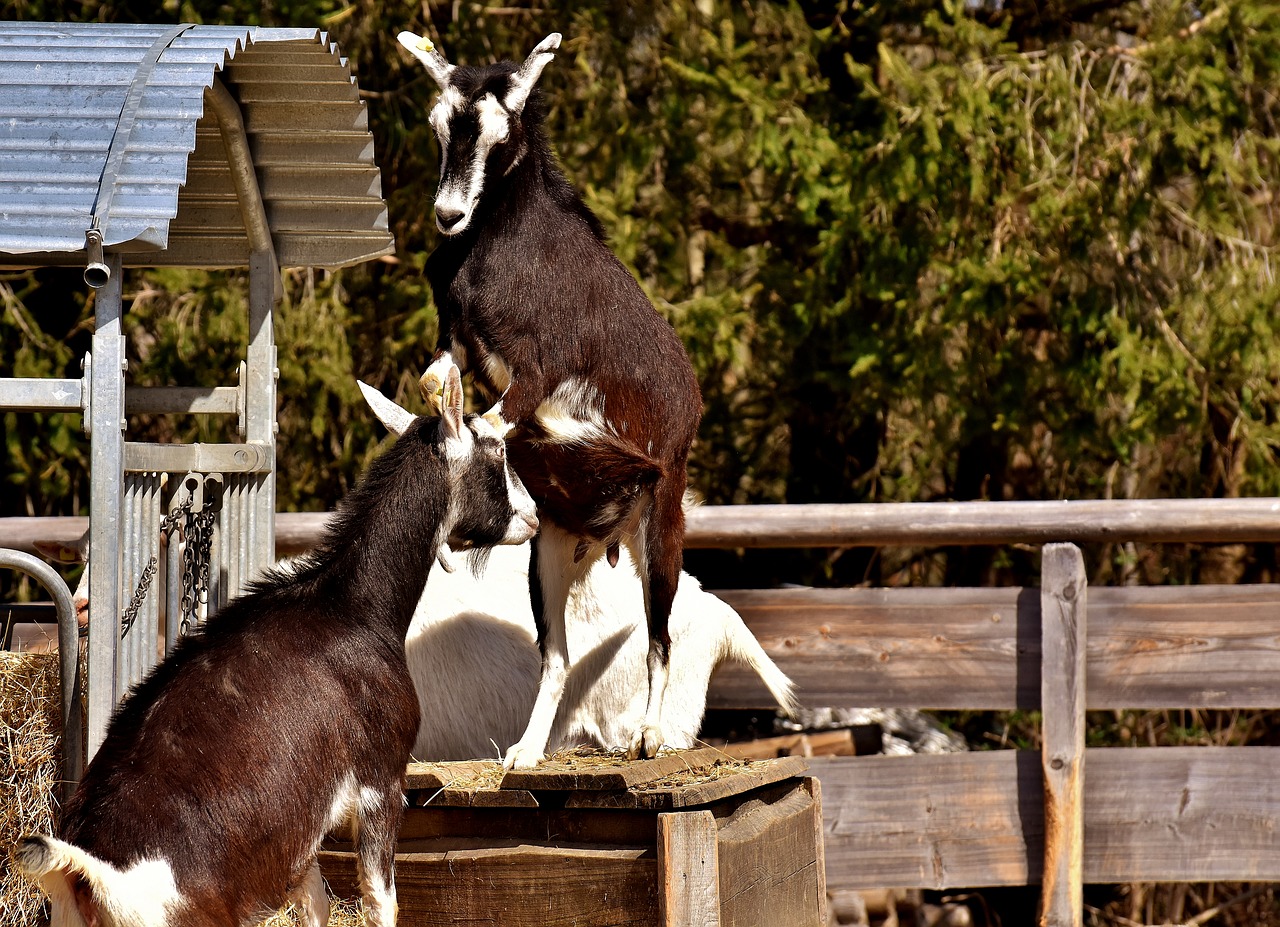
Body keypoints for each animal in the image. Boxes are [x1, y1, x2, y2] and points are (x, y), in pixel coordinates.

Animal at [20, 368, 540, 926]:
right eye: (497, 451)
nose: (533, 515)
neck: (350, 605)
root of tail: (94, 879)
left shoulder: (297, 829)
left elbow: (314, 904)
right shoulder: (382, 780)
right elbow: (381, 902)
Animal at [396, 28, 706, 768]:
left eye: (498, 130)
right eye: (439, 125)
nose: (449, 214)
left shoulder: (535, 373)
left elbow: (489, 420)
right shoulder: (455, 342)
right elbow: (438, 387)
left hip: (661, 521)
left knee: (659, 632)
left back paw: (648, 736)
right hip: (553, 551)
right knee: (558, 654)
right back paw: (525, 750)